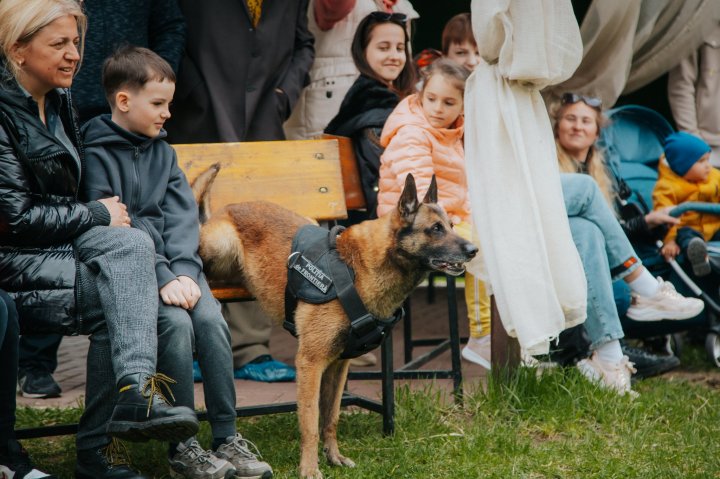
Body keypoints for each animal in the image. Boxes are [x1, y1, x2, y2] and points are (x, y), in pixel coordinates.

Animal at [193, 171, 478, 478]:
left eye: (451, 226)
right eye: (436, 229)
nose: (474, 250)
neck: (361, 270)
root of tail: (221, 211)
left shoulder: (338, 365)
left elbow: (330, 417)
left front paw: (333, 456)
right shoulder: (310, 362)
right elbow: (310, 422)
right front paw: (309, 468)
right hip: (222, 244)